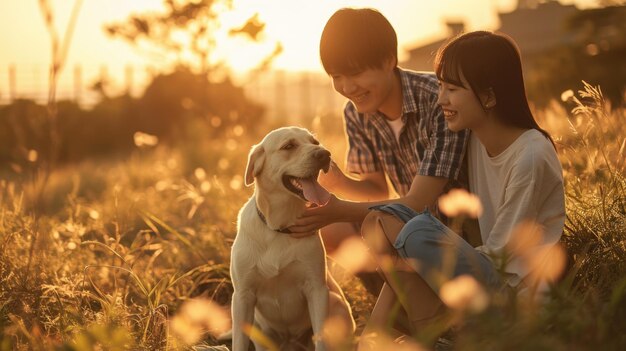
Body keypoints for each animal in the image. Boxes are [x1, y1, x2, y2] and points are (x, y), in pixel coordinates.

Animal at [230, 127, 356, 351]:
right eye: (289, 146)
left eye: (315, 142)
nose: (325, 154)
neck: (279, 228)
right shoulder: (242, 296)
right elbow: (239, 342)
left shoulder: (317, 290)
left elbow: (321, 339)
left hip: (337, 304)